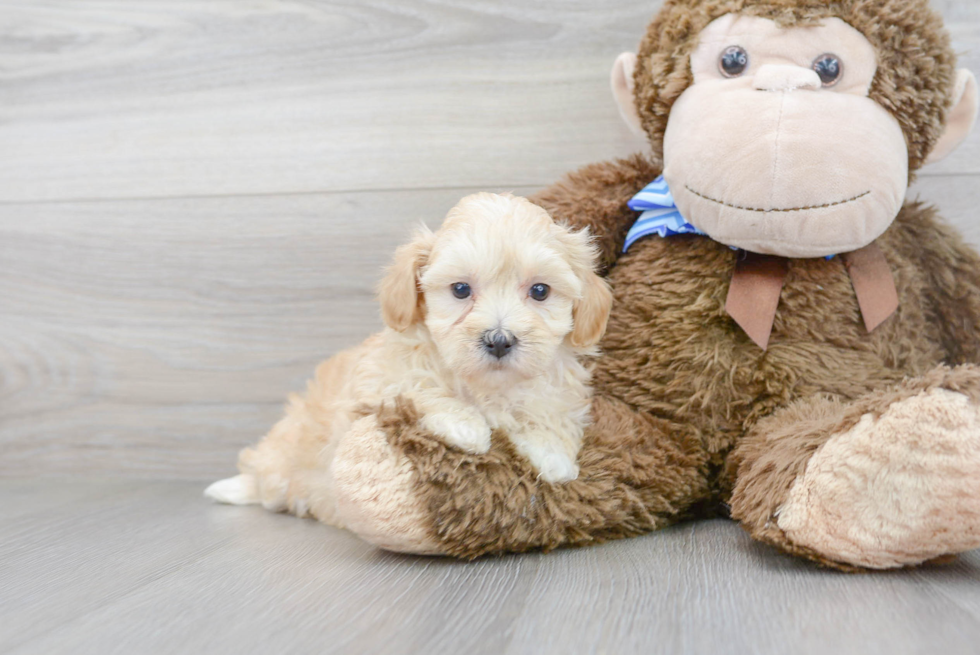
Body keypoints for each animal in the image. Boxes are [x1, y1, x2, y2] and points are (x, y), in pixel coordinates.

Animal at [207, 192, 612, 524]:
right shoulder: (375, 384)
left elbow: (550, 413)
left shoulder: (558, 390)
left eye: (540, 291)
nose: (499, 340)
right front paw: (467, 425)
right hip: (285, 451)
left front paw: (554, 456)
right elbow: (418, 388)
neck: (486, 386)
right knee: (264, 477)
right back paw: (232, 488)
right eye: (460, 289)